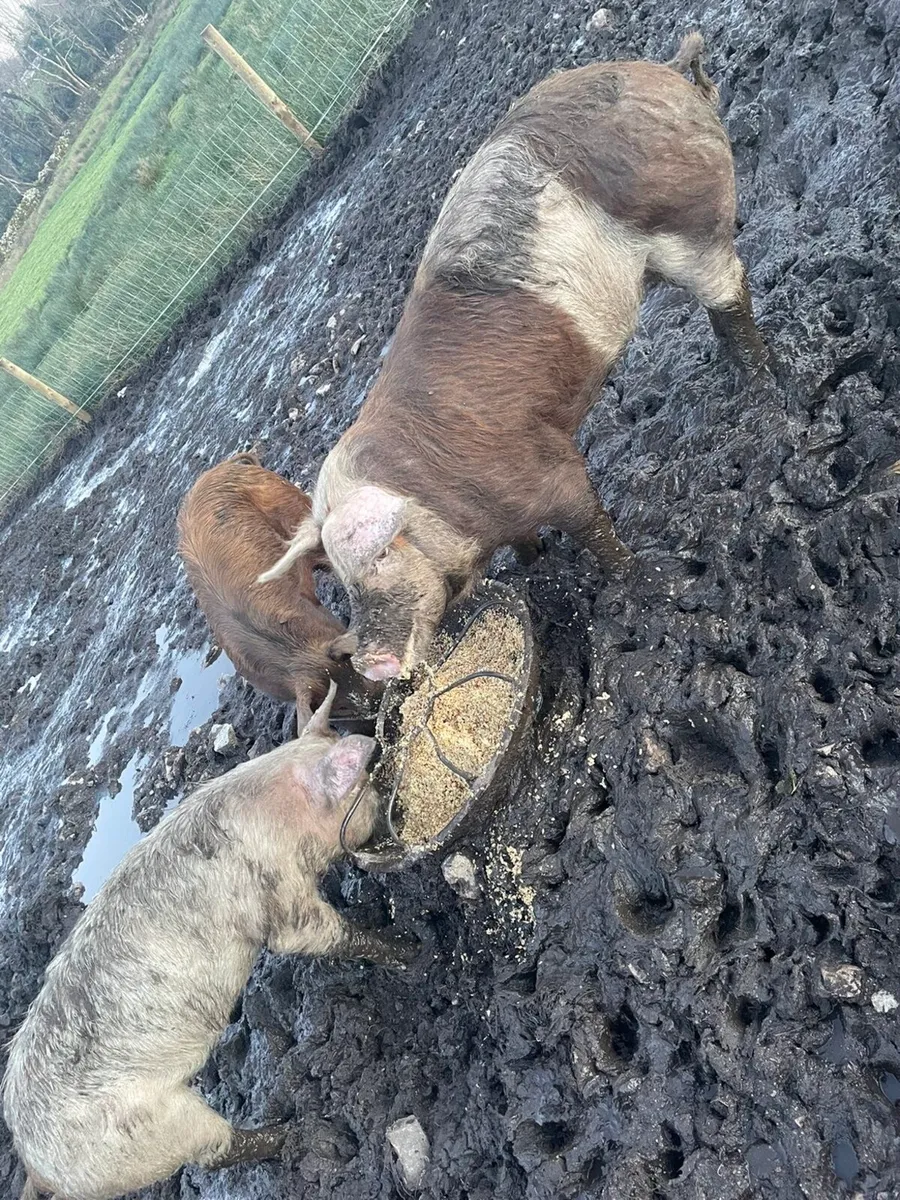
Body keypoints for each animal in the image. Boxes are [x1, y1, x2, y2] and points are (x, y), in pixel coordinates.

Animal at [3, 683, 417, 1200]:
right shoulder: (280, 895)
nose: (392, 814)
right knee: (216, 1151)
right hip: (156, 1129)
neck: (279, 816)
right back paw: (293, 1132)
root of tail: (37, 1167)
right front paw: (412, 950)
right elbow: (314, 936)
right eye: (368, 788)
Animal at [259, 35, 774, 681]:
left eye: (376, 561)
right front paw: (532, 562)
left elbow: (589, 521)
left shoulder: (543, 469)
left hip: (691, 225)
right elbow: (527, 543)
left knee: (730, 293)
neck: (436, 499)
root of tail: (665, 72)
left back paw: (759, 384)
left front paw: (635, 578)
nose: (371, 663)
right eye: (340, 586)